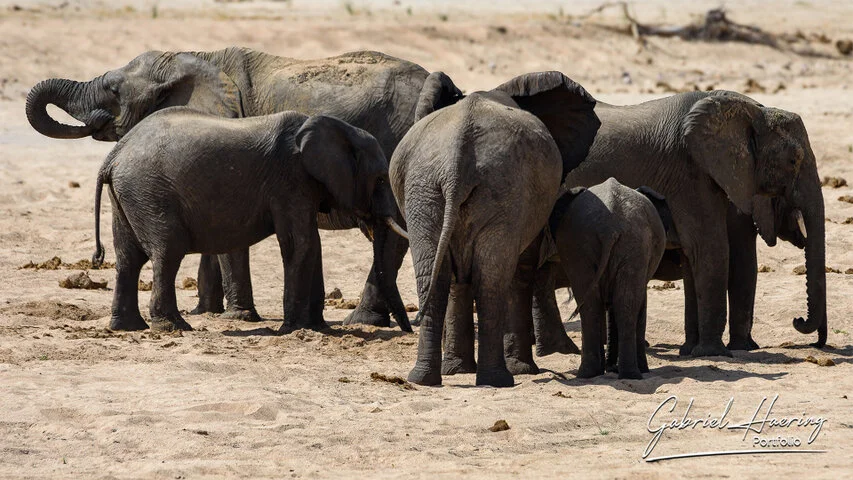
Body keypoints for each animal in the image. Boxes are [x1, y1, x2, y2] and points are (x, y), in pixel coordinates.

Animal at [91, 107, 408, 333]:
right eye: (381, 179)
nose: (405, 331)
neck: (336, 127)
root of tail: (114, 155)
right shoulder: (290, 180)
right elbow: (300, 243)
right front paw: (294, 330)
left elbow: (311, 244)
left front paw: (317, 329)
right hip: (150, 192)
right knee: (167, 251)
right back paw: (173, 327)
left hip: (129, 195)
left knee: (128, 258)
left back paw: (128, 328)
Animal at [390, 72, 600, 387]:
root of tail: (457, 160)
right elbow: (520, 270)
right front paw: (520, 370)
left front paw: (459, 370)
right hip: (490, 190)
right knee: (491, 279)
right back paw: (500, 379)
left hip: (429, 191)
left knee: (439, 278)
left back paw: (426, 379)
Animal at [532, 90, 818, 359]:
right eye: (794, 161)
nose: (798, 321)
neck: (751, 110)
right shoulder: (691, 173)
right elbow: (715, 250)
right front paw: (717, 352)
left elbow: (696, 256)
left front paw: (693, 350)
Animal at [547, 179, 676, 379]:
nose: (610, 366)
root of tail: (609, 227)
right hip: (630, 244)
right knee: (623, 303)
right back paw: (628, 373)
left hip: (589, 245)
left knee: (596, 304)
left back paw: (592, 374)